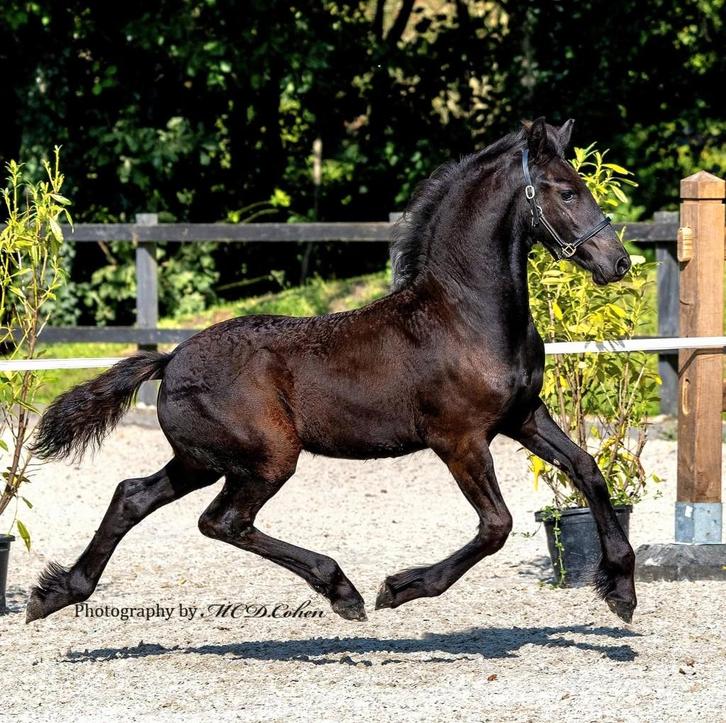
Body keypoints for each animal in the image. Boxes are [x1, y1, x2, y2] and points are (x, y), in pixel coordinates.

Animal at [27, 117, 637, 625]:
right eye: (566, 191)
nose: (618, 262)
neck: (464, 315)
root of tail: (170, 359)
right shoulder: (459, 439)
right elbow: (497, 526)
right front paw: (400, 588)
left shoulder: (522, 416)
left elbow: (587, 469)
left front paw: (621, 589)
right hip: (267, 458)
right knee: (222, 521)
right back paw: (342, 590)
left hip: (202, 459)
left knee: (132, 495)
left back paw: (56, 593)